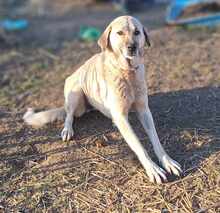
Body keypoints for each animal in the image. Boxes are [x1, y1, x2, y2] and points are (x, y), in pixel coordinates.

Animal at [23, 16, 182, 183]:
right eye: (120, 33)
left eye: (137, 32)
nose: (132, 47)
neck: (127, 73)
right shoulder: (121, 117)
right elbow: (138, 145)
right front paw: (152, 169)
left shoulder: (144, 110)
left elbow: (156, 140)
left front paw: (167, 161)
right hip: (76, 94)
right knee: (69, 115)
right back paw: (67, 129)